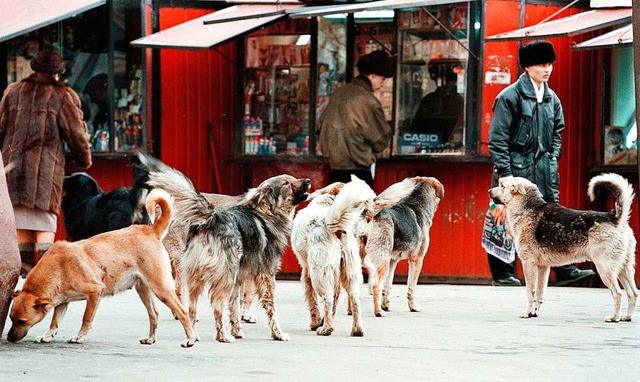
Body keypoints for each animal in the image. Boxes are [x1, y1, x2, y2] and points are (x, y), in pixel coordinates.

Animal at [6, 190, 196, 348]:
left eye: (22, 321)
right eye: (11, 319)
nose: (8, 338)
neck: (58, 267)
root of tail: (150, 230)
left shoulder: (94, 293)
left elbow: (86, 318)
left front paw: (79, 337)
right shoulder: (63, 302)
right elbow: (54, 321)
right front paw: (48, 335)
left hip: (161, 288)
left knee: (182, 312)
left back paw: (190, 339)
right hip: (143, 289)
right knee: (154, 314)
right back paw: (151, 338)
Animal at [139, 152, 312, 344]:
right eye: (286, 183)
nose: (308, 180)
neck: (266, 212)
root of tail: (212, 217)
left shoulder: (240, 277)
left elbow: (234, 307)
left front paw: (237, 330)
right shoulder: (265, 275)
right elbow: (270, 308)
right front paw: (278, 334)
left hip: (198, 276)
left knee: (192, 307)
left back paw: (193, 336)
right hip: (221, 274)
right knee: (214, 304)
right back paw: (222, 336)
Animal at [294, 175, 378, 336]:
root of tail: (333, 227)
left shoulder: (307, 272)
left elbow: (313, 301)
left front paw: (315, 323)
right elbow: (336, 300)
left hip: (319, 274)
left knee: (327, 300)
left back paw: (326, 329)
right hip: (351, 272)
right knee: (354, 300)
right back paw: (356, 330)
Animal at [362, 176, 442, 316]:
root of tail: (372, 215)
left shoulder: (393, 261)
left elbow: (388, 286)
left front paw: (386, 305)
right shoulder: (417, 260)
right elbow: (411, 287)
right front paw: (413, 307)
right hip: (382, 262)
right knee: (376, 285)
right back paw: (378, 312)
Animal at [490, 174, 636, 322]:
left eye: (502, 186)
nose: (489, 191)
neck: (526, 208)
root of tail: (615, 218)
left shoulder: (529, 265)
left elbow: (531, 293)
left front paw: (527, 313)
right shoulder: (543, 267)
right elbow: (539, 294)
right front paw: (534, 313)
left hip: (605, 268)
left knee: (618, 293)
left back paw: (614, 317)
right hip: (624, 269)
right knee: (633, 293)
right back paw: (626, 317)